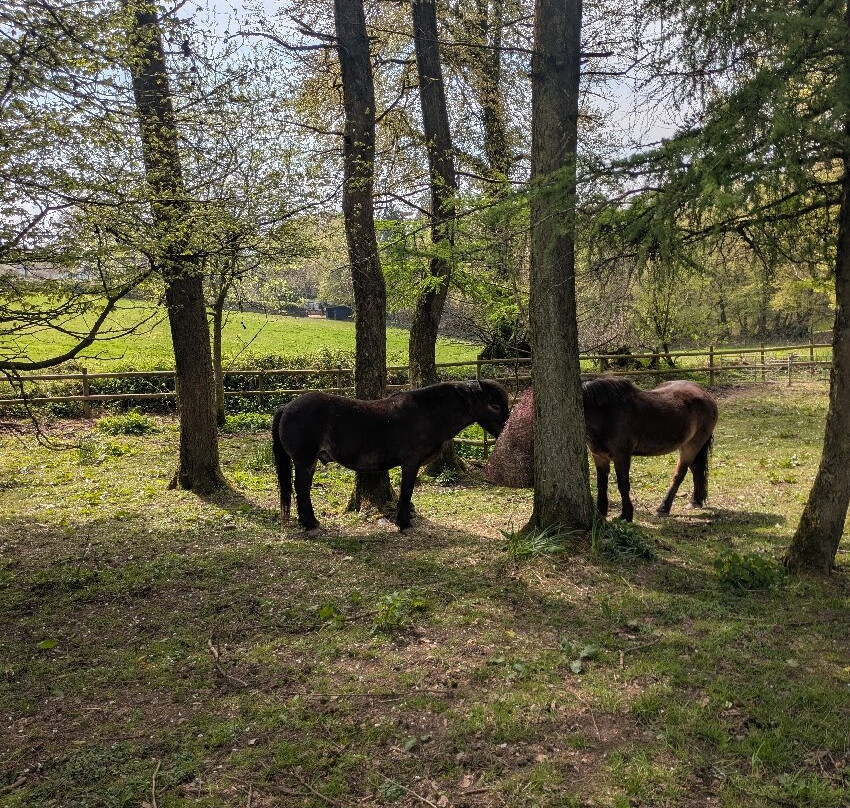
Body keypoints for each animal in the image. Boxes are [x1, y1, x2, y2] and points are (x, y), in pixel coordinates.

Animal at [272, 379, 510, 533]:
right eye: (494, 405)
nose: (507, 431)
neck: (428, 413)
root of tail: (287, 406)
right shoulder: (411, 464)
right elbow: (406, 492)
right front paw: (404, 523)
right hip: (304, 461)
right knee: (301, 489)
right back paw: (310, 525)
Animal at [484, 378, 718, 521]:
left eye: (525, 411)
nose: (504, 432)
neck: (605, 414)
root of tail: (705, 395)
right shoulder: (599, 456)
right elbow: (602, 484)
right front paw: (601, 510)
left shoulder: (622, 456)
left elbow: (623, 485)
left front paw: (626, 515)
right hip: (691, 445)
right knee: (696, 470)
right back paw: (696, 500)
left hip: (691, 446)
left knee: (680, 474)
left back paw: (664, 507)